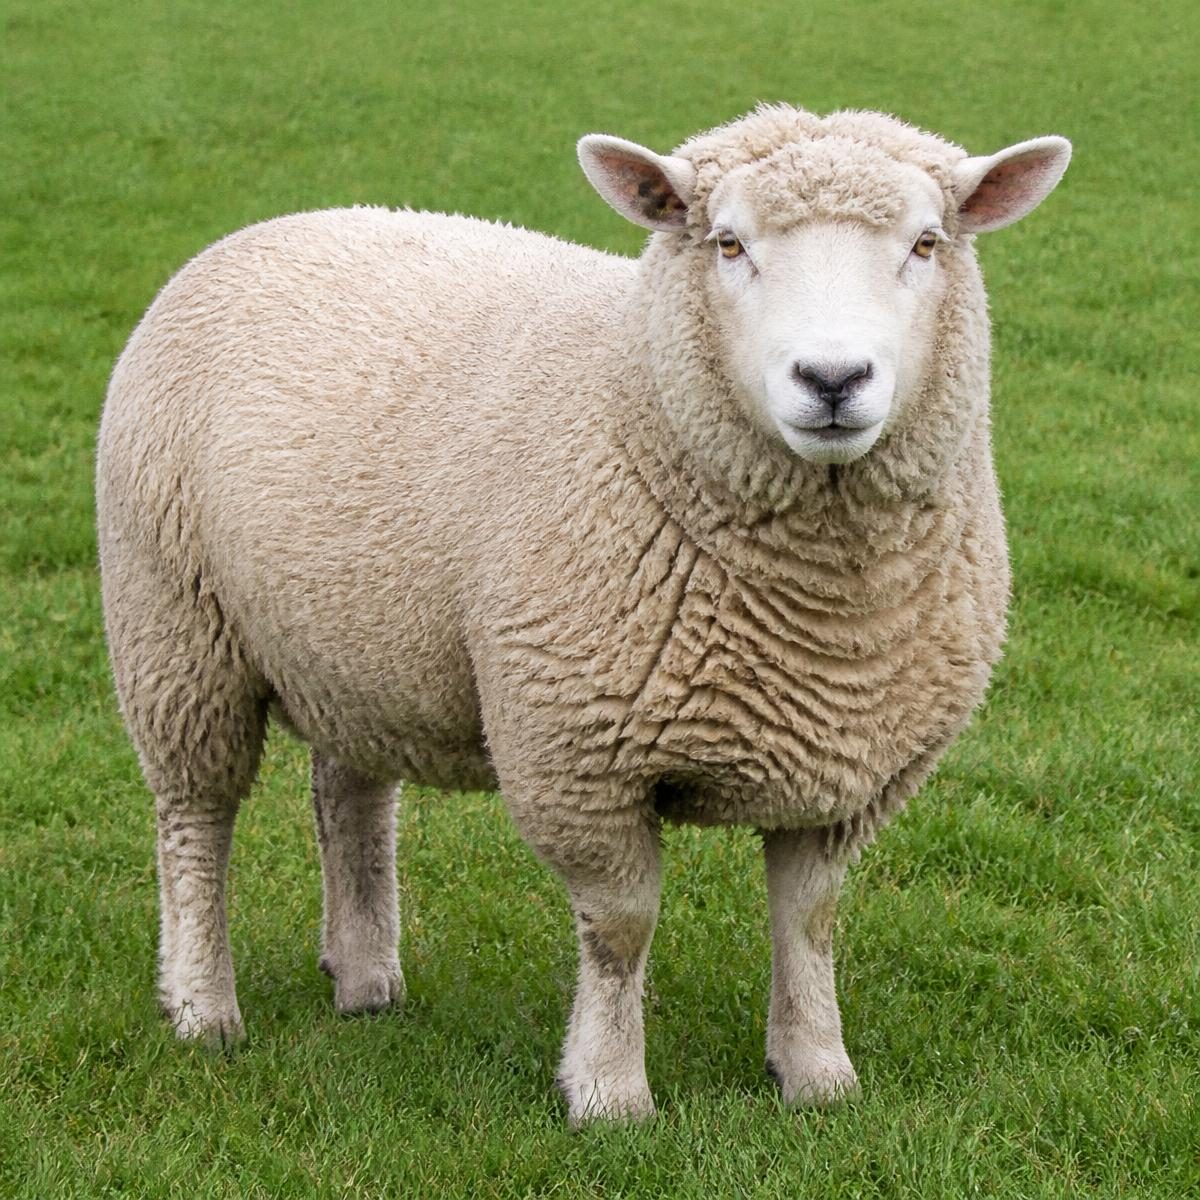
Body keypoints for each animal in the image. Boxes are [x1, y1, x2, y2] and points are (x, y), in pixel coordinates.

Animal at [97, 103, 1071, 1124]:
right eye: (727, 242)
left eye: (926, 244)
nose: (834, 379)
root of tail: (280, 223)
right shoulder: (578, 753)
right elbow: (620, 927)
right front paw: (608, 1092)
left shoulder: (849, 763)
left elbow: (811, 918)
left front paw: (816, 1074)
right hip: (173, 626)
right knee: (194, 818)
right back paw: (202, 1005)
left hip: (354, 646)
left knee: (349, 794)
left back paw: (364, 978)